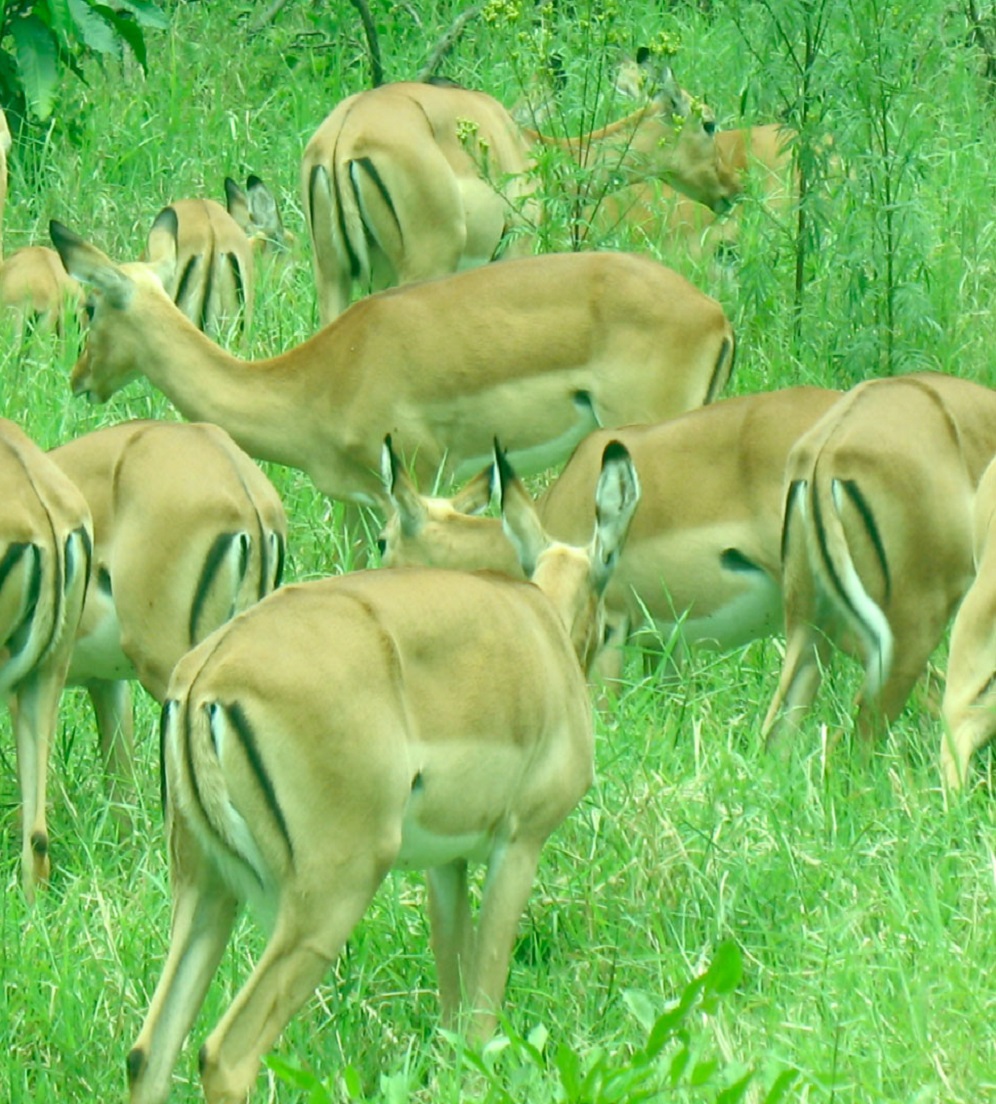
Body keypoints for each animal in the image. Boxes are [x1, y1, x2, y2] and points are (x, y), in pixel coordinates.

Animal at [52, 220, 735, 511]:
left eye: (90, 305)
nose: (77, 380)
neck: (317, 382)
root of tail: (716, 317)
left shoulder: (418, 476)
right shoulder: (358, 502)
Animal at [125, 439, 640, 1104]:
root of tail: (208, 678)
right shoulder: (520, 842)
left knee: (149, 1053)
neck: (541, 625)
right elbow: (482, 1018)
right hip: (328, 899)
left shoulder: (446, 862)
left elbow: (452, 1008)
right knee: (224, 1054)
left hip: (206, 885)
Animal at [302, 61, 738, 322]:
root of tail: (344, 136)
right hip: (420, 269)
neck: (527, 144)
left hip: (334, 275)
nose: (732, 186)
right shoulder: (516, 249)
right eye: (709, 122)